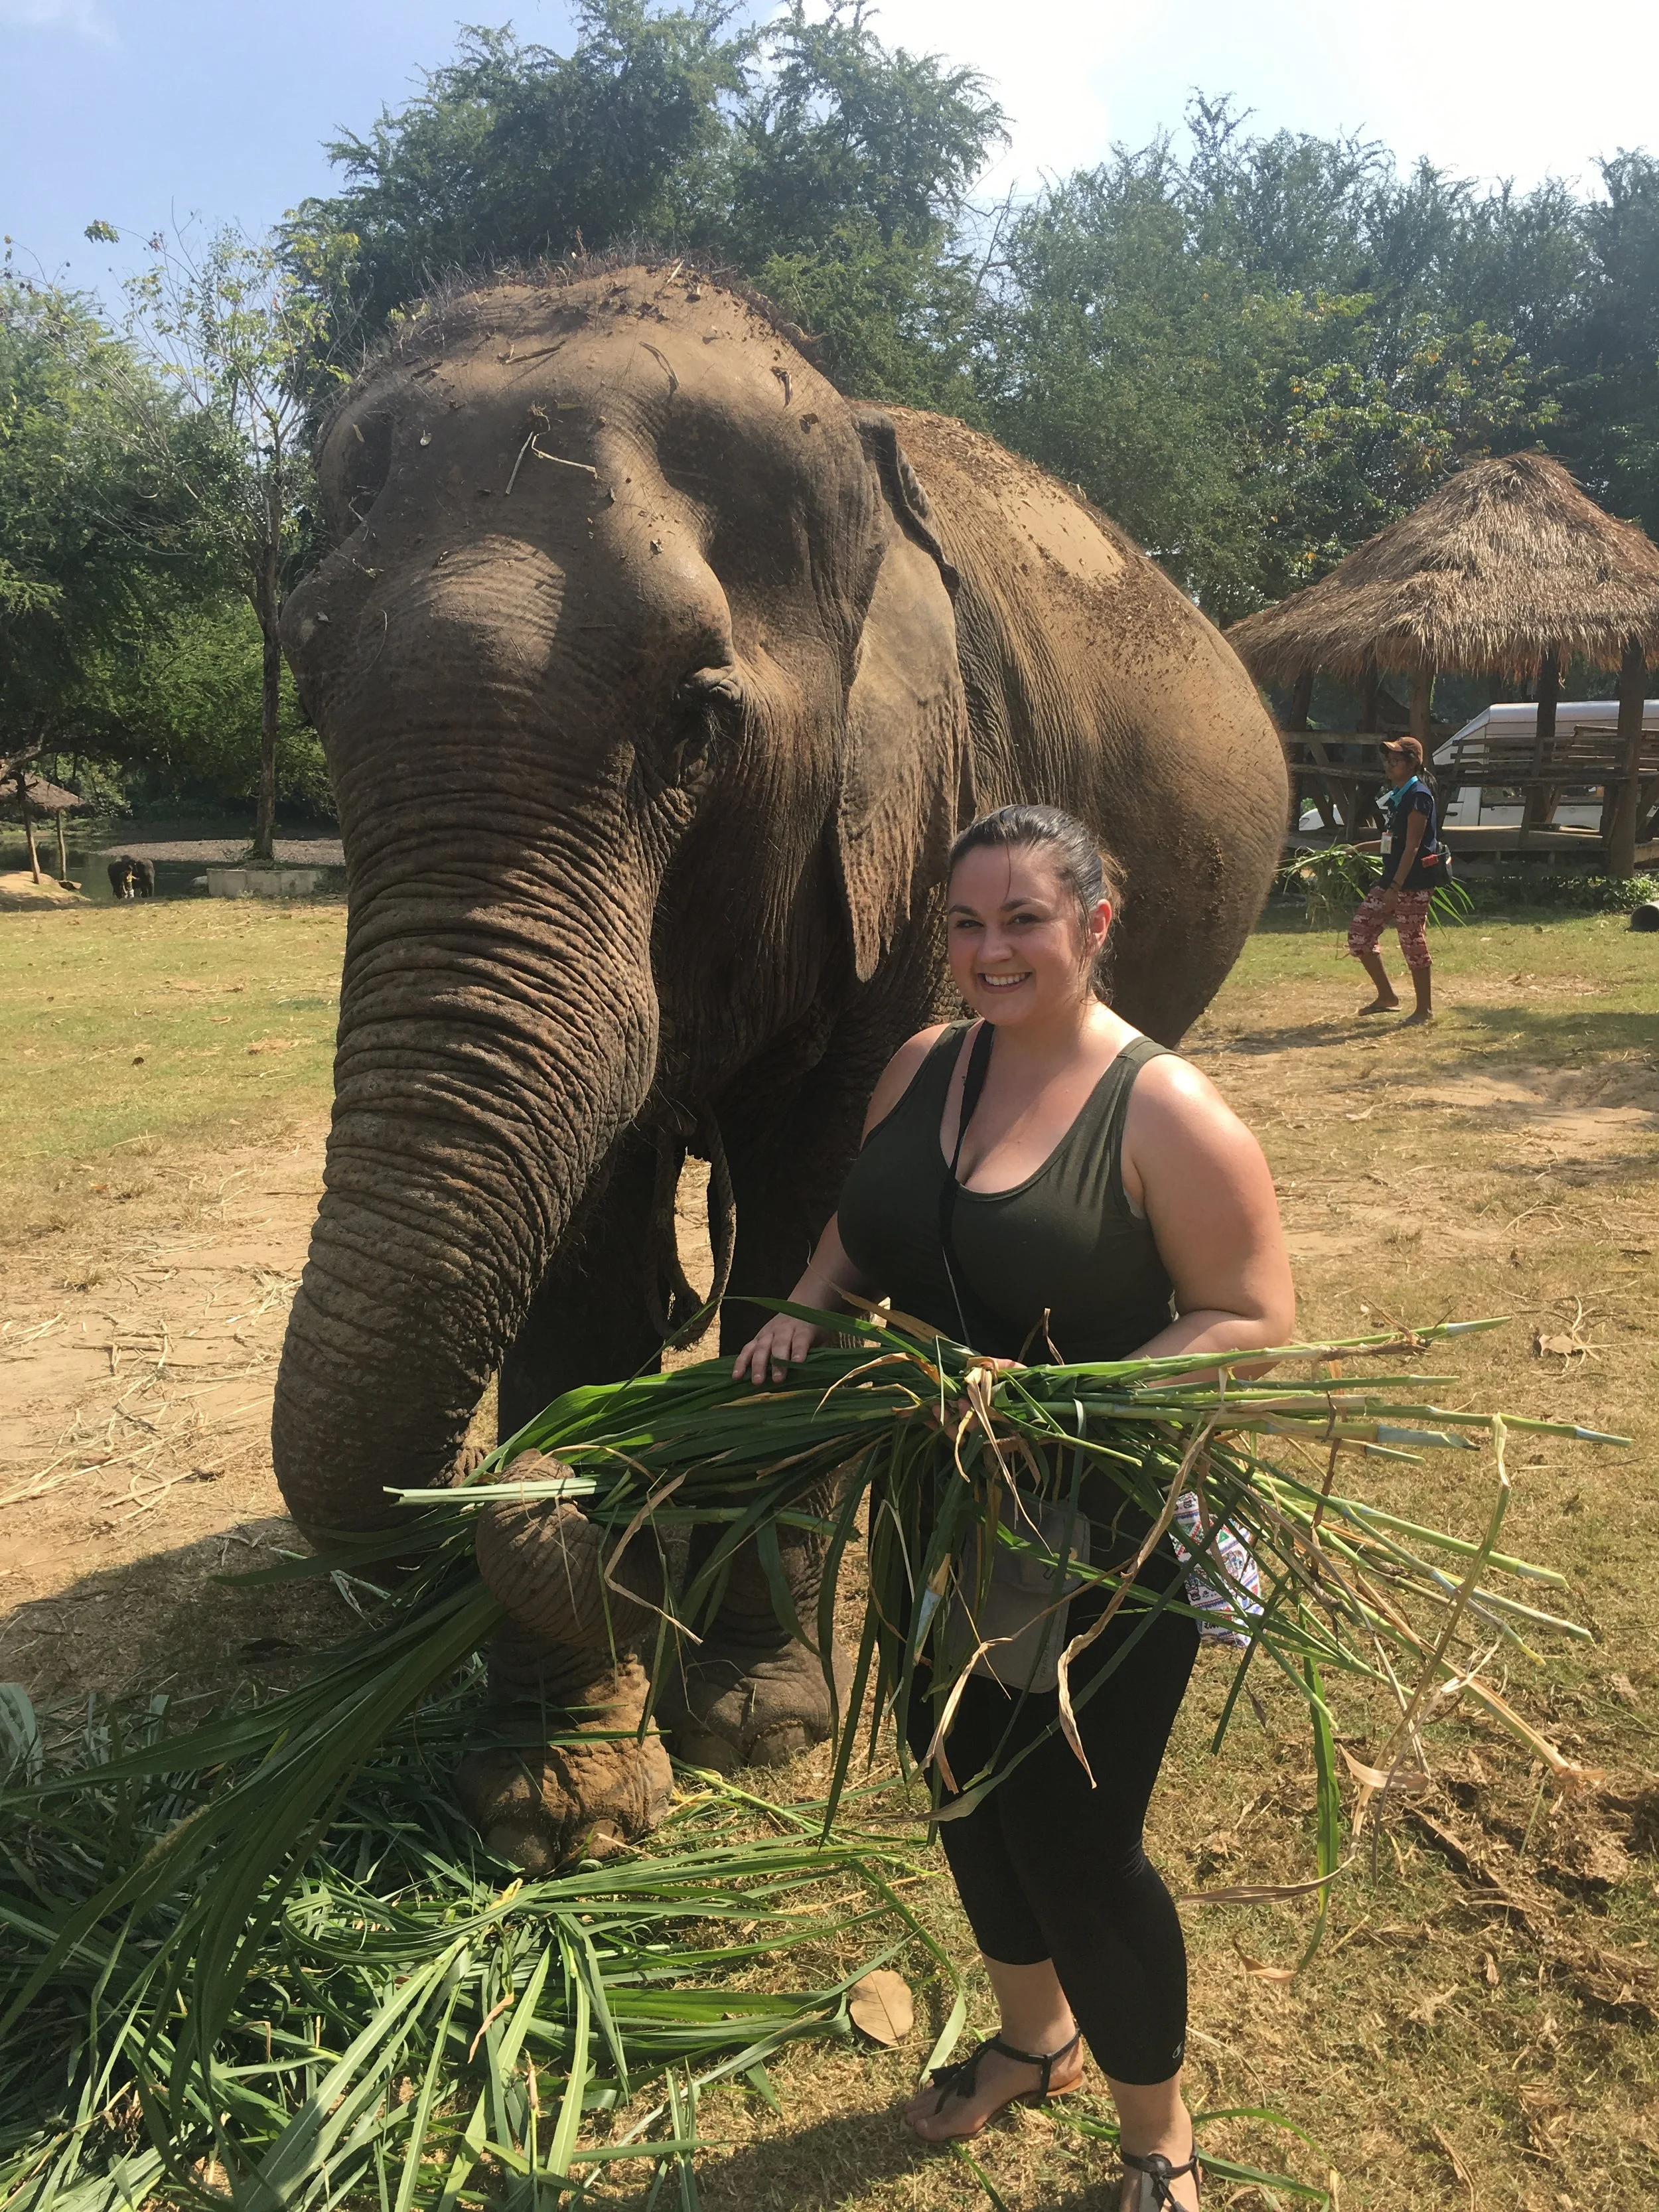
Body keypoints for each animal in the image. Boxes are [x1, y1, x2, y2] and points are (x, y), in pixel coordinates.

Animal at [274, 261, 1286, 1870]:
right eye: (306, 678)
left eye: (698, 714)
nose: (556, 1490)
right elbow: (584, 1259)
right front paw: (561, 1803)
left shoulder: (919, 819)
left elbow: (810, 1228)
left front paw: (751, 1722)